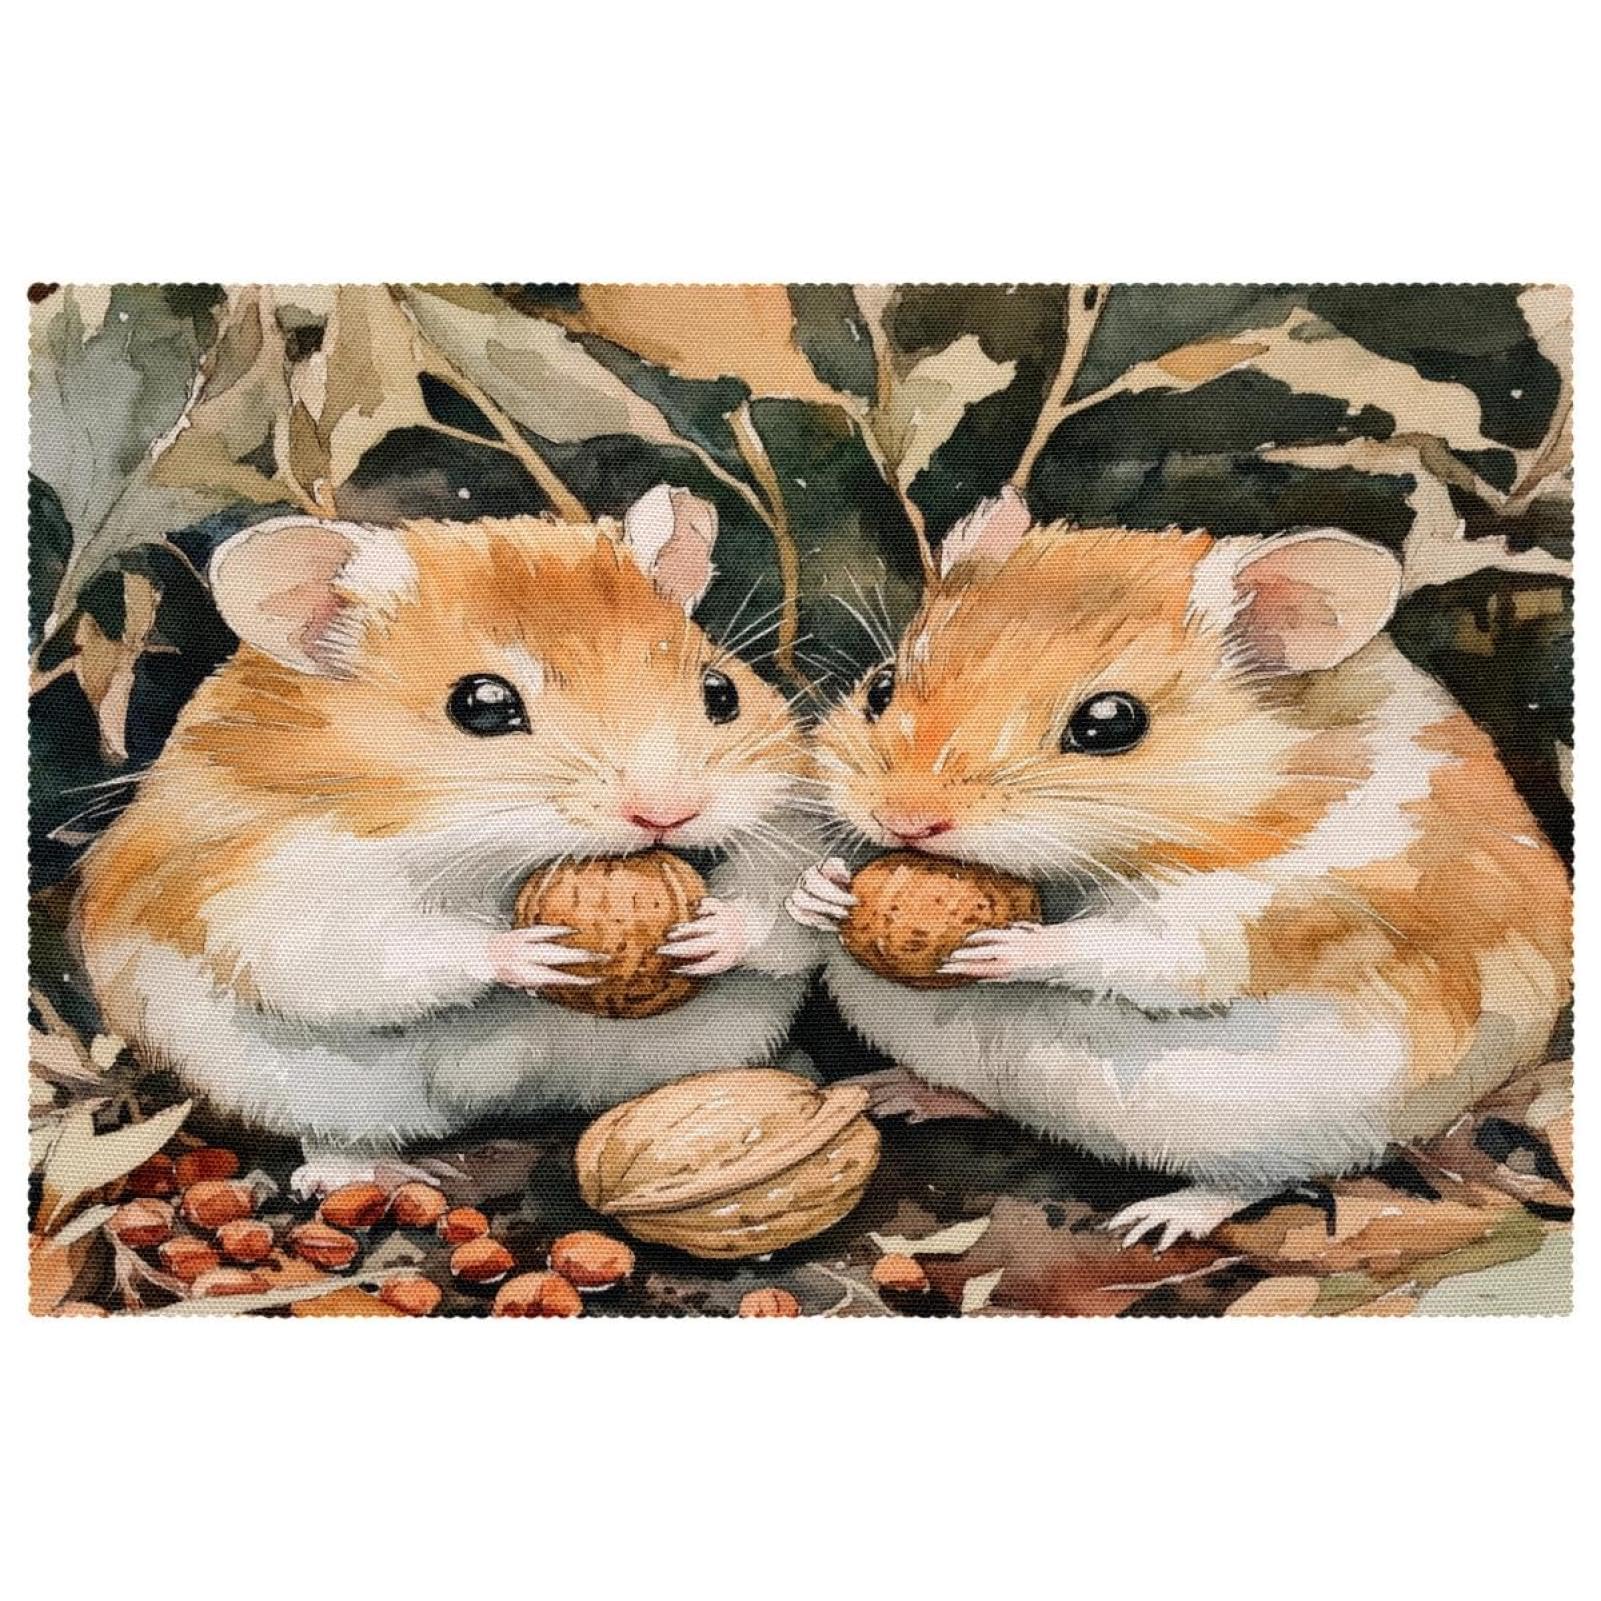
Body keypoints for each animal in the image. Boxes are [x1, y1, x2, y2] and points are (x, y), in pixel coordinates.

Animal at [76, 486, 825, 1194]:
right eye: (482, 704)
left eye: (721, 691)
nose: (667, 813)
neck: (494, 856)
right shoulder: (285, 892)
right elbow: (393, 951)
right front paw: (538, 950)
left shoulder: (788, 818)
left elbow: (780, 909)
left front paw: (710, 932)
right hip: (307, 1086)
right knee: (336, 1138)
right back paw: (379, 1176)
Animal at [788, 488, 1571, 1248]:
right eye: (880, 687)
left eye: (1109, 722)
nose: (903, 819)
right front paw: (820, 893)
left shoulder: (1255, 921)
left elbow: (1134, 950)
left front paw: (1002, 947)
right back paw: (890, 1091)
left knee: (1262, 1180)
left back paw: (1158, 1218)